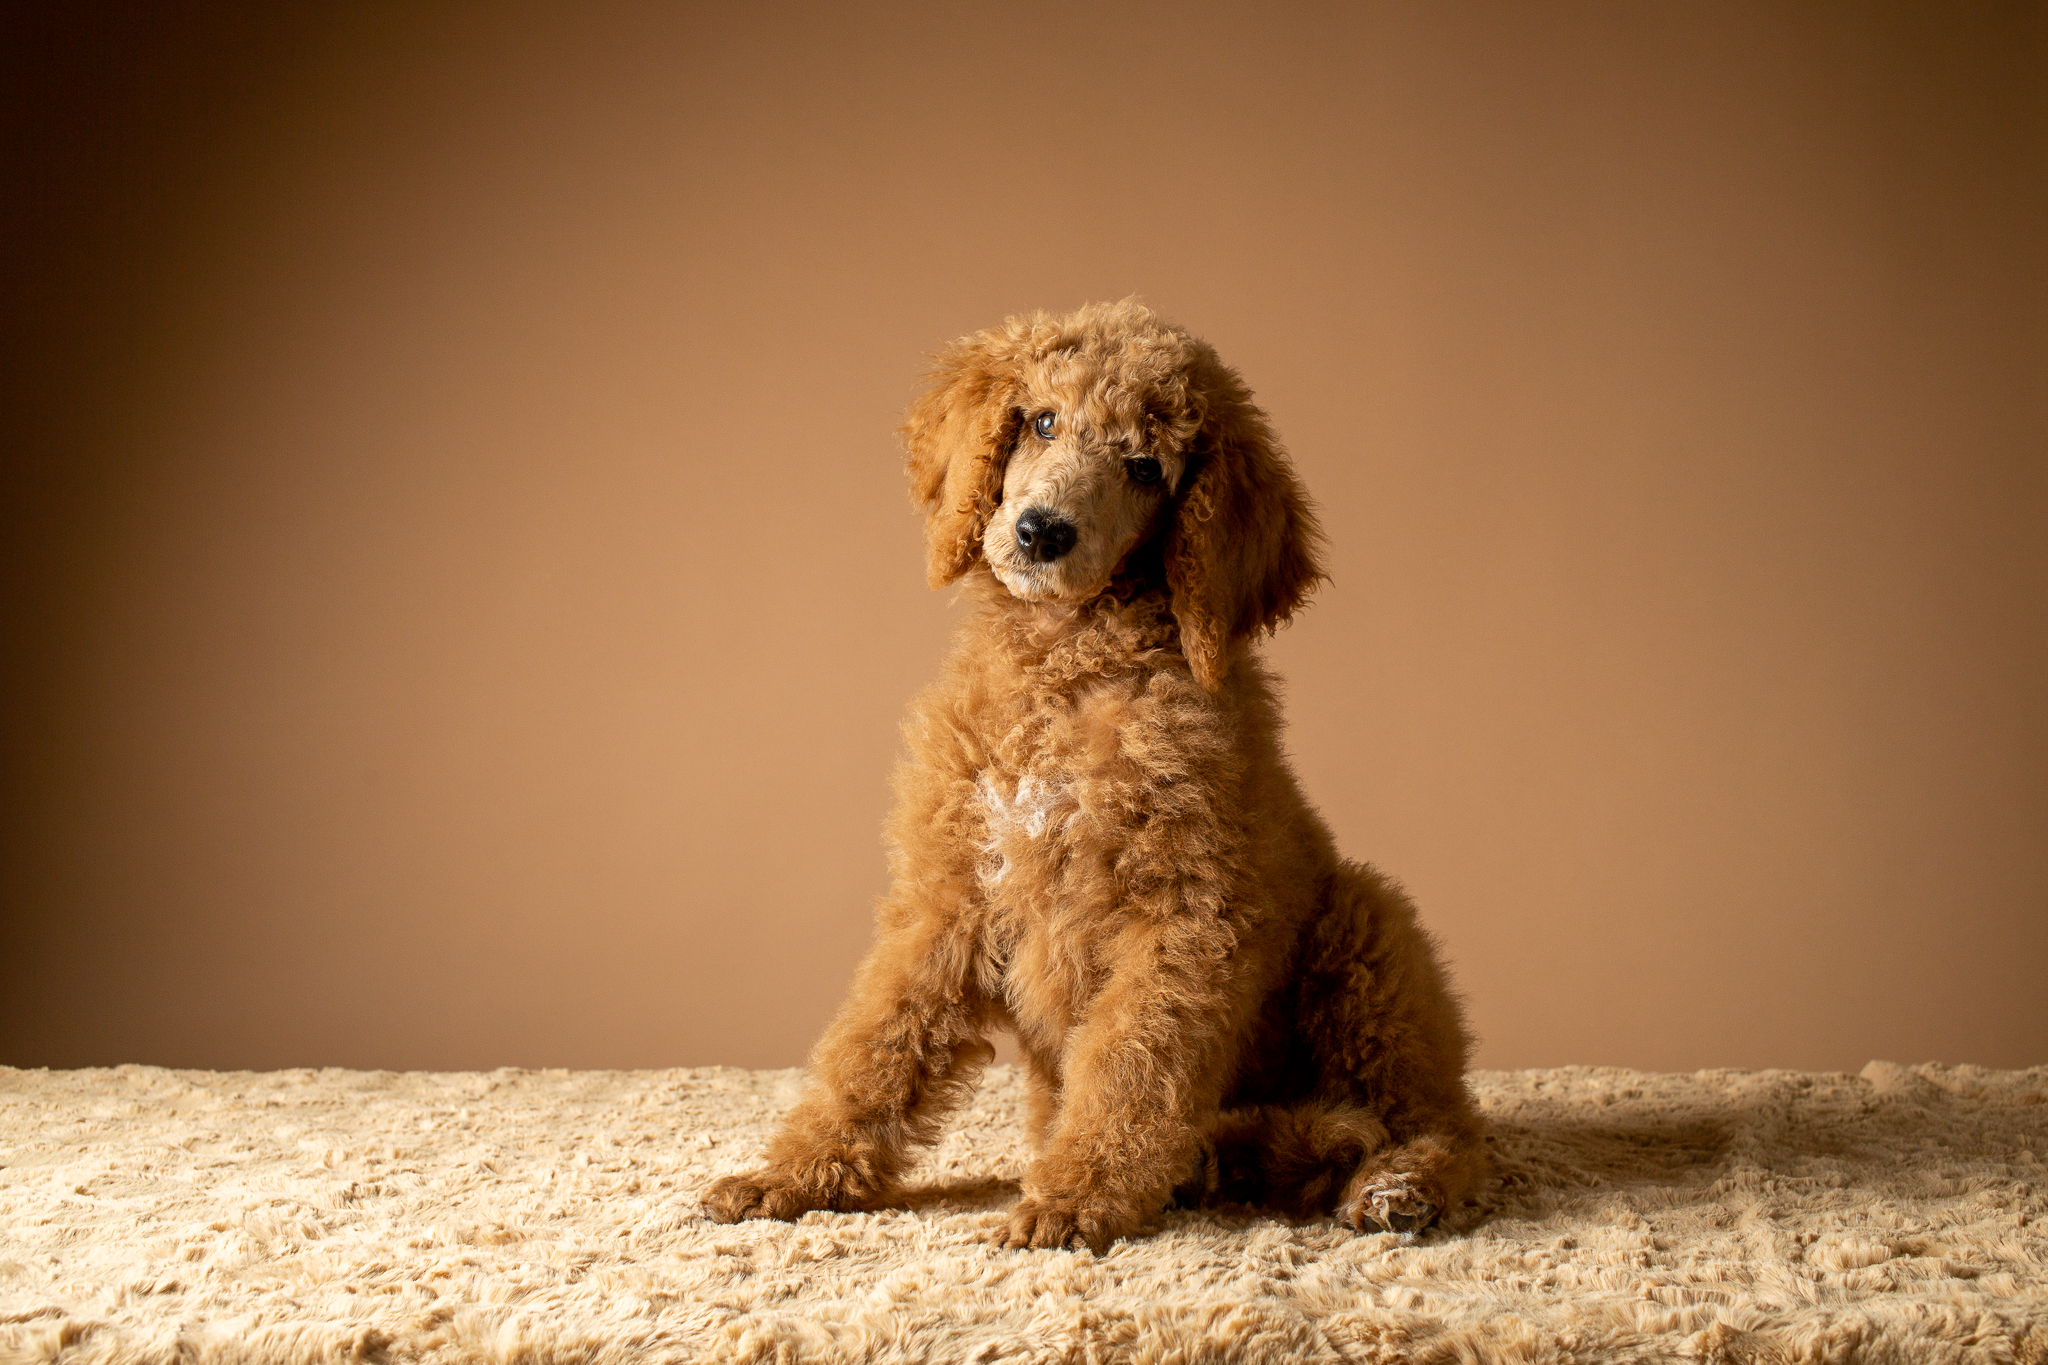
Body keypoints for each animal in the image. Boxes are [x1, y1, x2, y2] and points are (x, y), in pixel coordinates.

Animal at [704, 300, 1490, 1260]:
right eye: (1042, 421)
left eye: (1146, 468)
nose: (1043, 531)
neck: (1065, 662)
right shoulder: (947, 896)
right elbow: (876, 1041)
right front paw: (790, 1174)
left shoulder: (1184, 913)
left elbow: (1132, 1058)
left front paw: (1080, 1195)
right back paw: (1224, 1161)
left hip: (1366, 929)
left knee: (1444, 1122)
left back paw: (1393, 1182)